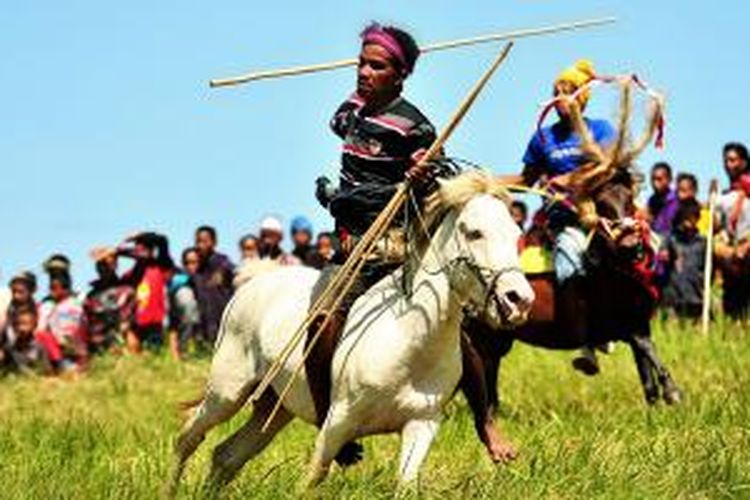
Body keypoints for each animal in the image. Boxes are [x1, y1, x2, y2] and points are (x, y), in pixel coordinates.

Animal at [170, 171, 536, 492]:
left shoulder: (422, 424)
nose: (519, 300)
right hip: (227, 391)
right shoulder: (337, 423)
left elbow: (406, 484)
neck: (408, 343)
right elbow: (313, 477)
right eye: (474, 232)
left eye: (516, 233)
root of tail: (254, 280)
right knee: (188, 437)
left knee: (227, 456)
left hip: (275, 408)